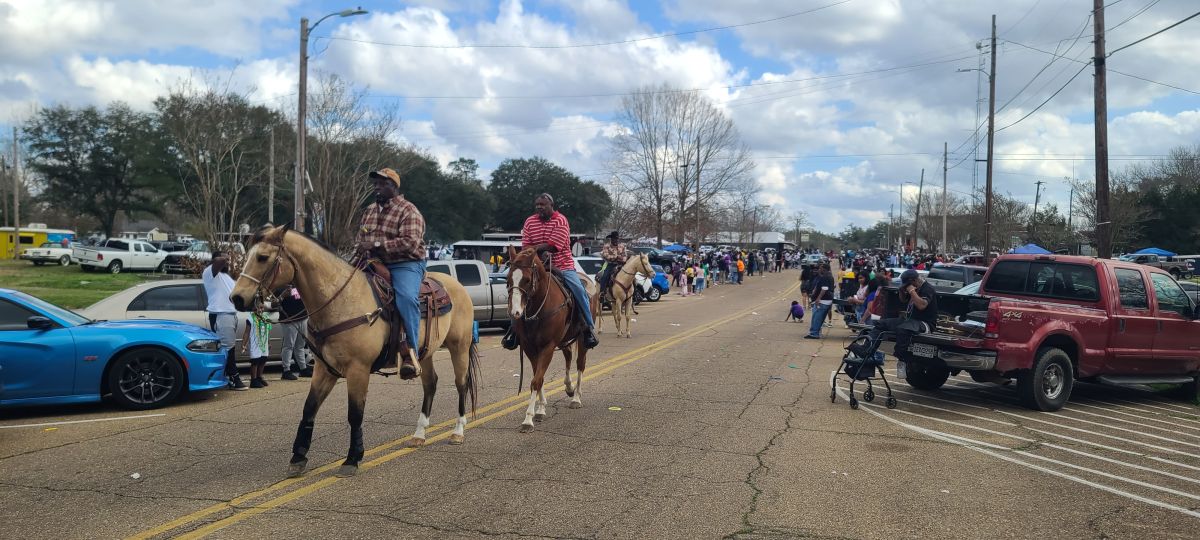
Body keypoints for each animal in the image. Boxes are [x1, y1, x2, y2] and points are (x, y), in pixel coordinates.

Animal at [229, 223, 477, 477]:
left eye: (262, 257)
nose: (236, 298)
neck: (341, 301)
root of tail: (456, 286)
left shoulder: (358, 369)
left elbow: (355, 414)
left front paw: (352, 458)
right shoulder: (323, 369)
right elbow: (309, 408)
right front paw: (298, 457)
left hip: (459, 346)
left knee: (461, 384)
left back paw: (457, 431)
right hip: (424, 353)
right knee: (430, 384)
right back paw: (419, 434)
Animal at [504, 244, 588, 429]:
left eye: (527, 280)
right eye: (508, 279)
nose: (515, 312)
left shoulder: (548, 347)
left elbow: (536, 380)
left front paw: (528, 419)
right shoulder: (529, 347)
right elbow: (539, 377)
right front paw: (540, 409)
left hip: (582, 338)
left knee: (580, 364)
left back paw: (576, 398)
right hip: (564, 339)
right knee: (568, 356)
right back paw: (569, 387)